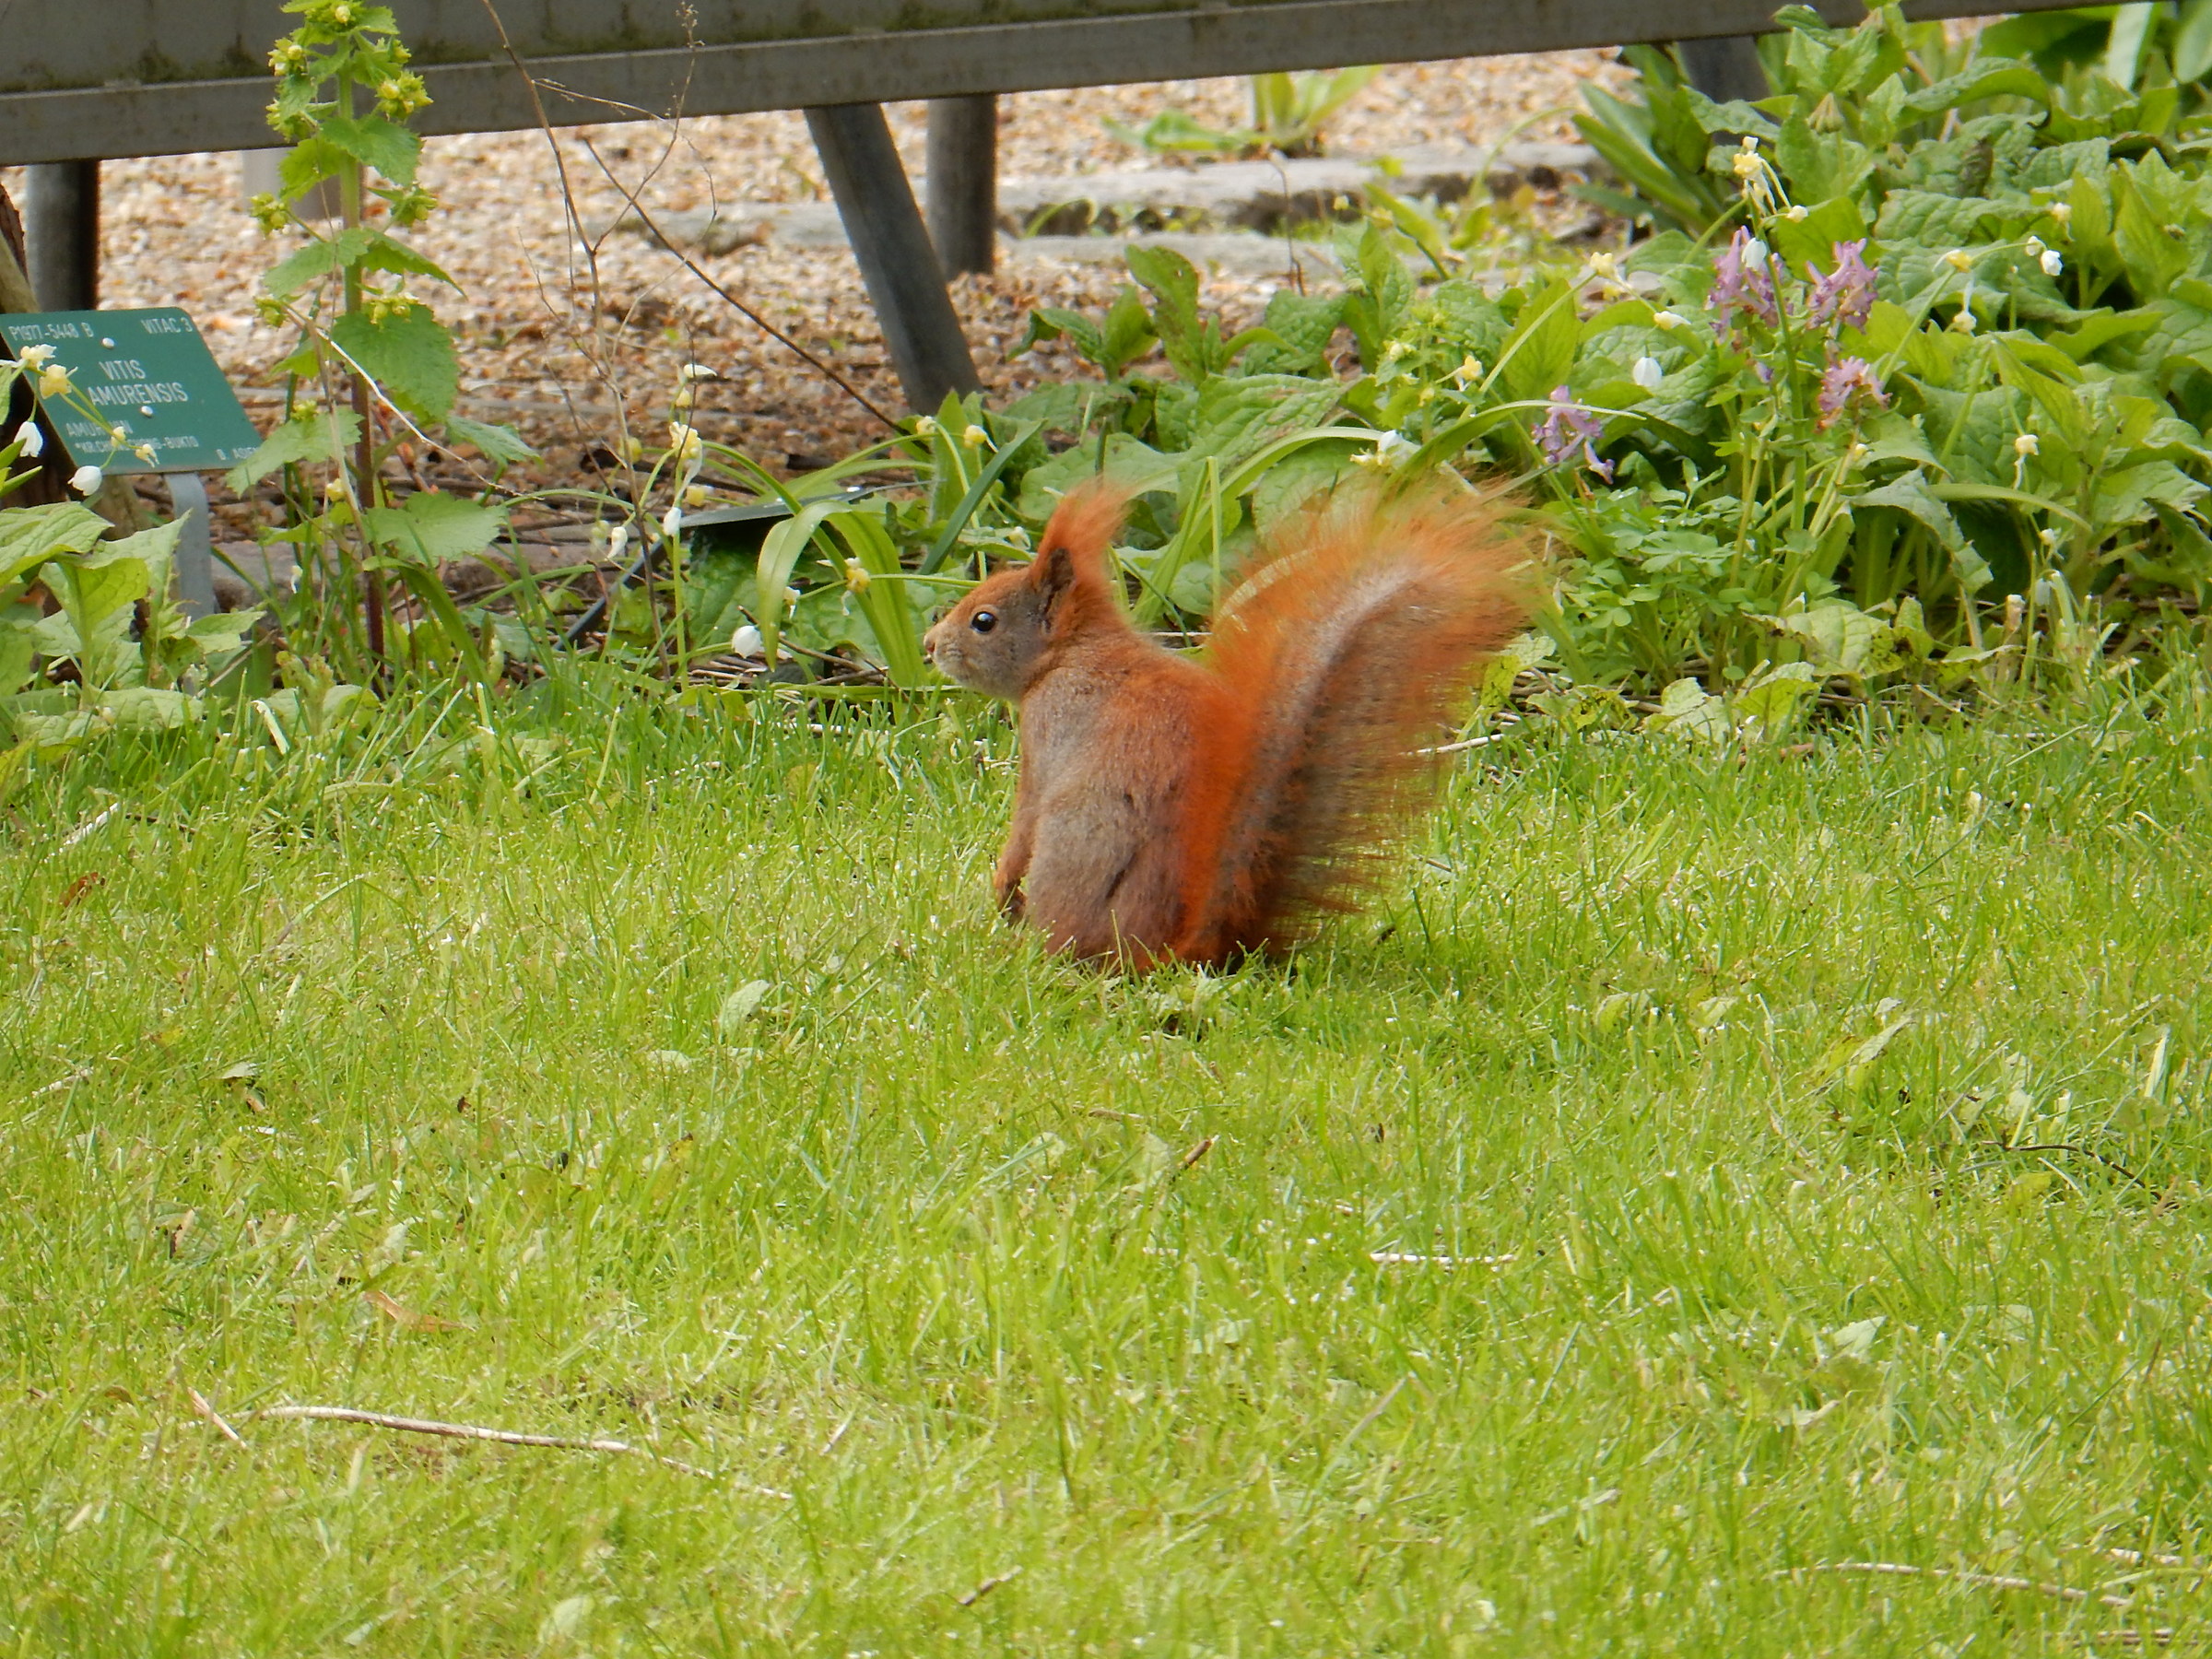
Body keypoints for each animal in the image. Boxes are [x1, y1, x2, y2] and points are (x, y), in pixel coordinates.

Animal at [922, 479, 1536, 969]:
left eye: (983, 621)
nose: (929, 645)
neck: (1073, 653)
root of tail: (1181, 950)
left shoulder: (1049, 728)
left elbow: (1025, 817)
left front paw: (1003, 888)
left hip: (1076, 842)